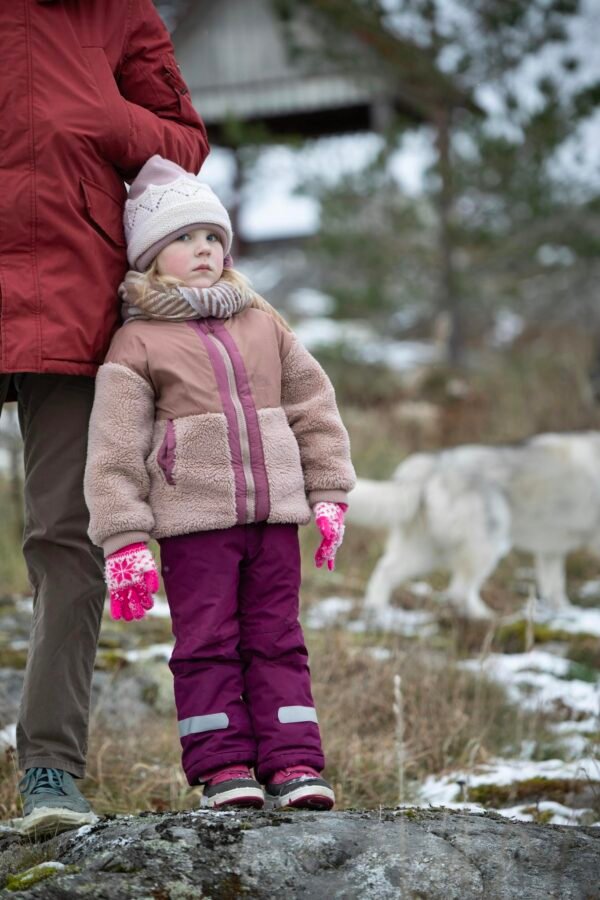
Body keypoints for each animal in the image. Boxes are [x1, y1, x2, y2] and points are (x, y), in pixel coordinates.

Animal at [346, 434, 600, 620]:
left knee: (385, 570)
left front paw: (565, 612)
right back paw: (484, 618)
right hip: (486, 544)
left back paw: (376, 611)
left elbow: (555, 586)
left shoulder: (551, 551)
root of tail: (433, 463)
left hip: (427, 551)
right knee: (459, 590)